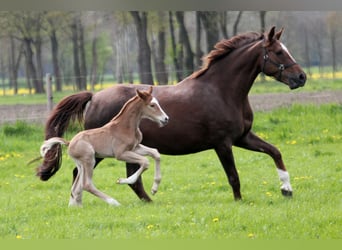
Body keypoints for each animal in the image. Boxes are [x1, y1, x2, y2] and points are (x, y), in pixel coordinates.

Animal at [38, 87, 168, 206]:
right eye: (152, 105)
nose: (166, 119)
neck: (125, 126)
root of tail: (69, 142)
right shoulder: (121, 154)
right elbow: (145, 161)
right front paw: (122, 180)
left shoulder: (135, 148)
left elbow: (155, 153)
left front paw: (154, 188)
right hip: (90, 159)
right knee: (87, 184)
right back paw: (113, 202)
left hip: (81, 165)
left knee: (77, 186)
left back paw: (76, 206)